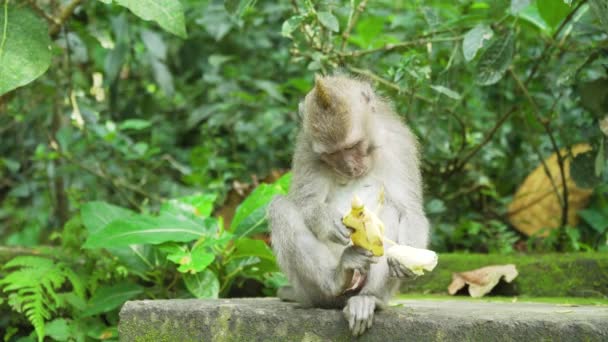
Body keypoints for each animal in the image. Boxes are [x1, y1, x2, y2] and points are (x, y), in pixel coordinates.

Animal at [268, 74, 430, 336]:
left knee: (391, 212)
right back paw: (337, 277)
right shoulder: (306, 149)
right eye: (332, 154)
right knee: (280, 207)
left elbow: (409, 209)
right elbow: (305, 203)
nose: (349, 168)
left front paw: (406, 258)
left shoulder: (399, 143)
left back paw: (368, 299)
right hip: (309, 291)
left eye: (353, 146)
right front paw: (327, 221)